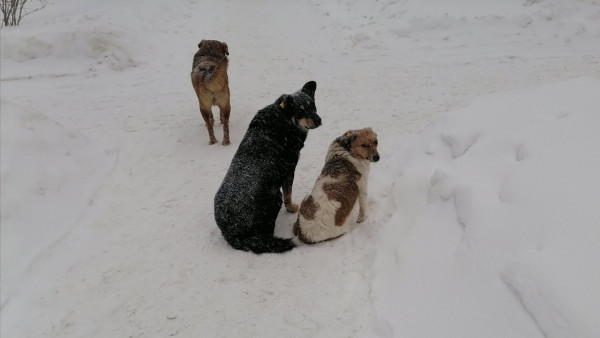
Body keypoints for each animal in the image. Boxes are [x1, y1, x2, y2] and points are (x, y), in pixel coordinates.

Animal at [213, 80, 322, 252]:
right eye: (301, 110)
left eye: (313, 105)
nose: (318, 120)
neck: (284, 117)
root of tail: (230, 232)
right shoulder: (289, 169)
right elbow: (288, 193)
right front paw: (292, 208)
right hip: (274, 198)